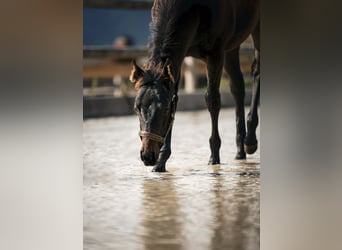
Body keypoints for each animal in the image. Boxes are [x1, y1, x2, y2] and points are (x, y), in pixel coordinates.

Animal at [130, 0, 260, 172]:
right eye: (136, 108)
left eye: (164, 109)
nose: (148, 156)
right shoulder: (178, 58)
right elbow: (175, 98)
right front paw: (161, 162)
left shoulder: (215, 54)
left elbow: (212, 99)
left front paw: (214, 156)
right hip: (232, 46)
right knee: (237, 86)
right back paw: (240, 150)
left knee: (257, 71)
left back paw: (250, 141)